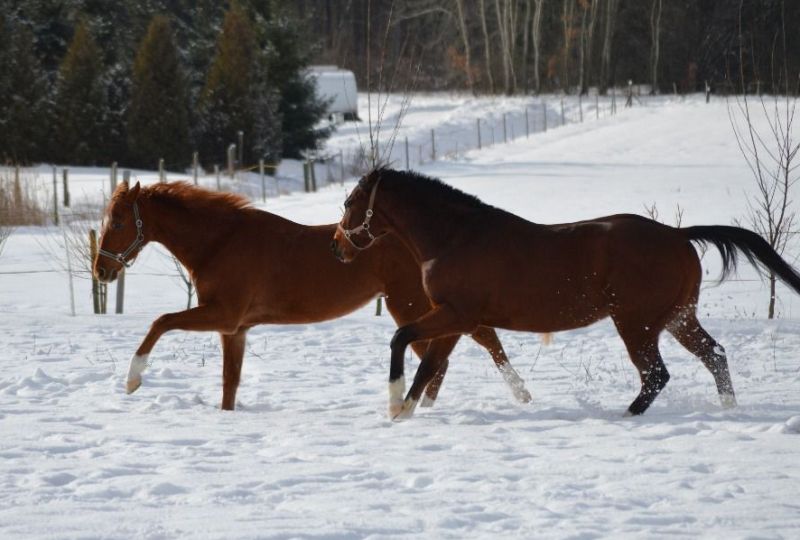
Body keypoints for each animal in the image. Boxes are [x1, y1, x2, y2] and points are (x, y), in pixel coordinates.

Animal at [90, 182, 532, 414]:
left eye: (118, 220)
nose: (101, 271)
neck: (220, 242)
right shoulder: (236, 329)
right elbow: (230, 383)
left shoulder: (223, 315)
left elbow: (160, 321)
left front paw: (132, 380)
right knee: (456, 351)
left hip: (411, 305)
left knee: (466, 346)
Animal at [330, 168, 800, 418]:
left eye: (350, 202)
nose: (338, 245)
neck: (454, 238)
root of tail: (678, 235)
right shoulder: (456, 319)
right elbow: (430, 365)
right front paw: (406, 411)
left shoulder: (455, 314)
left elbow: (403, 339)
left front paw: (394, 405)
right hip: (677, 317)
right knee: (714, 355)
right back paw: (728, 408)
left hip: (637, 322)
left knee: (657, 375)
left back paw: (627, 414)